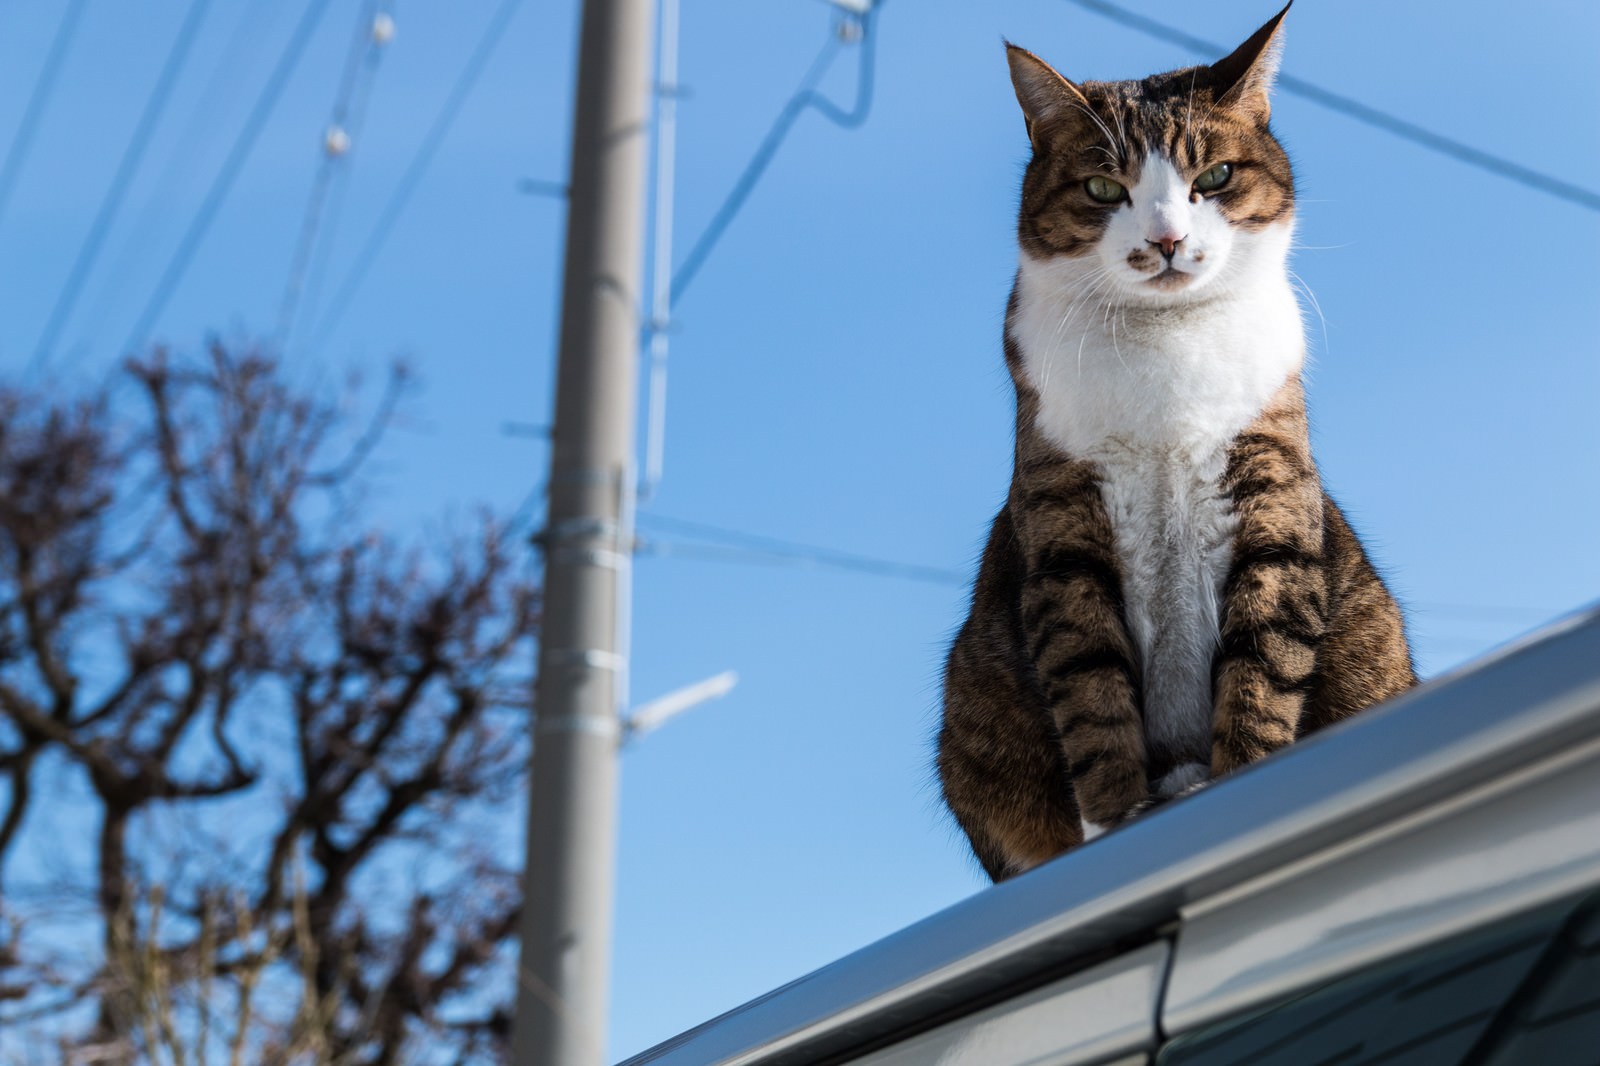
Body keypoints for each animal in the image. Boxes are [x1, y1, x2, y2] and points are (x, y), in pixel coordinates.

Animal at [934, 2, 1414, 877]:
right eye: (1103, 187)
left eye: (1214, 178)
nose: (1164, 241)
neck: (1169, 343)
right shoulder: (1065, 522)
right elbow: (1089, 686)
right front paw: (1120, 818)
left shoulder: (1269, 489)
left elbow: (1263, 663)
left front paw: (1244, 780)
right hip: (972, 710)